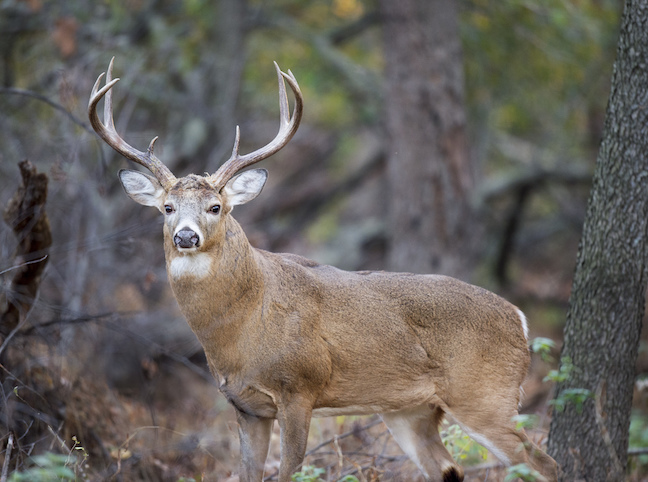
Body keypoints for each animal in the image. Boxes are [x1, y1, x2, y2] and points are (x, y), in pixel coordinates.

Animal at [88, 58, 558, 482]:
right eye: (167, 208)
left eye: (215, 206)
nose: (186, 237)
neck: (243, 324)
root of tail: (520, 321)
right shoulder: (245, 407)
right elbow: (247, 474)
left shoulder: (300, 388)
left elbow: (291, 472)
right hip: (411, 410)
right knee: (450, 469)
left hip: (485, 395)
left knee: (544, 463)